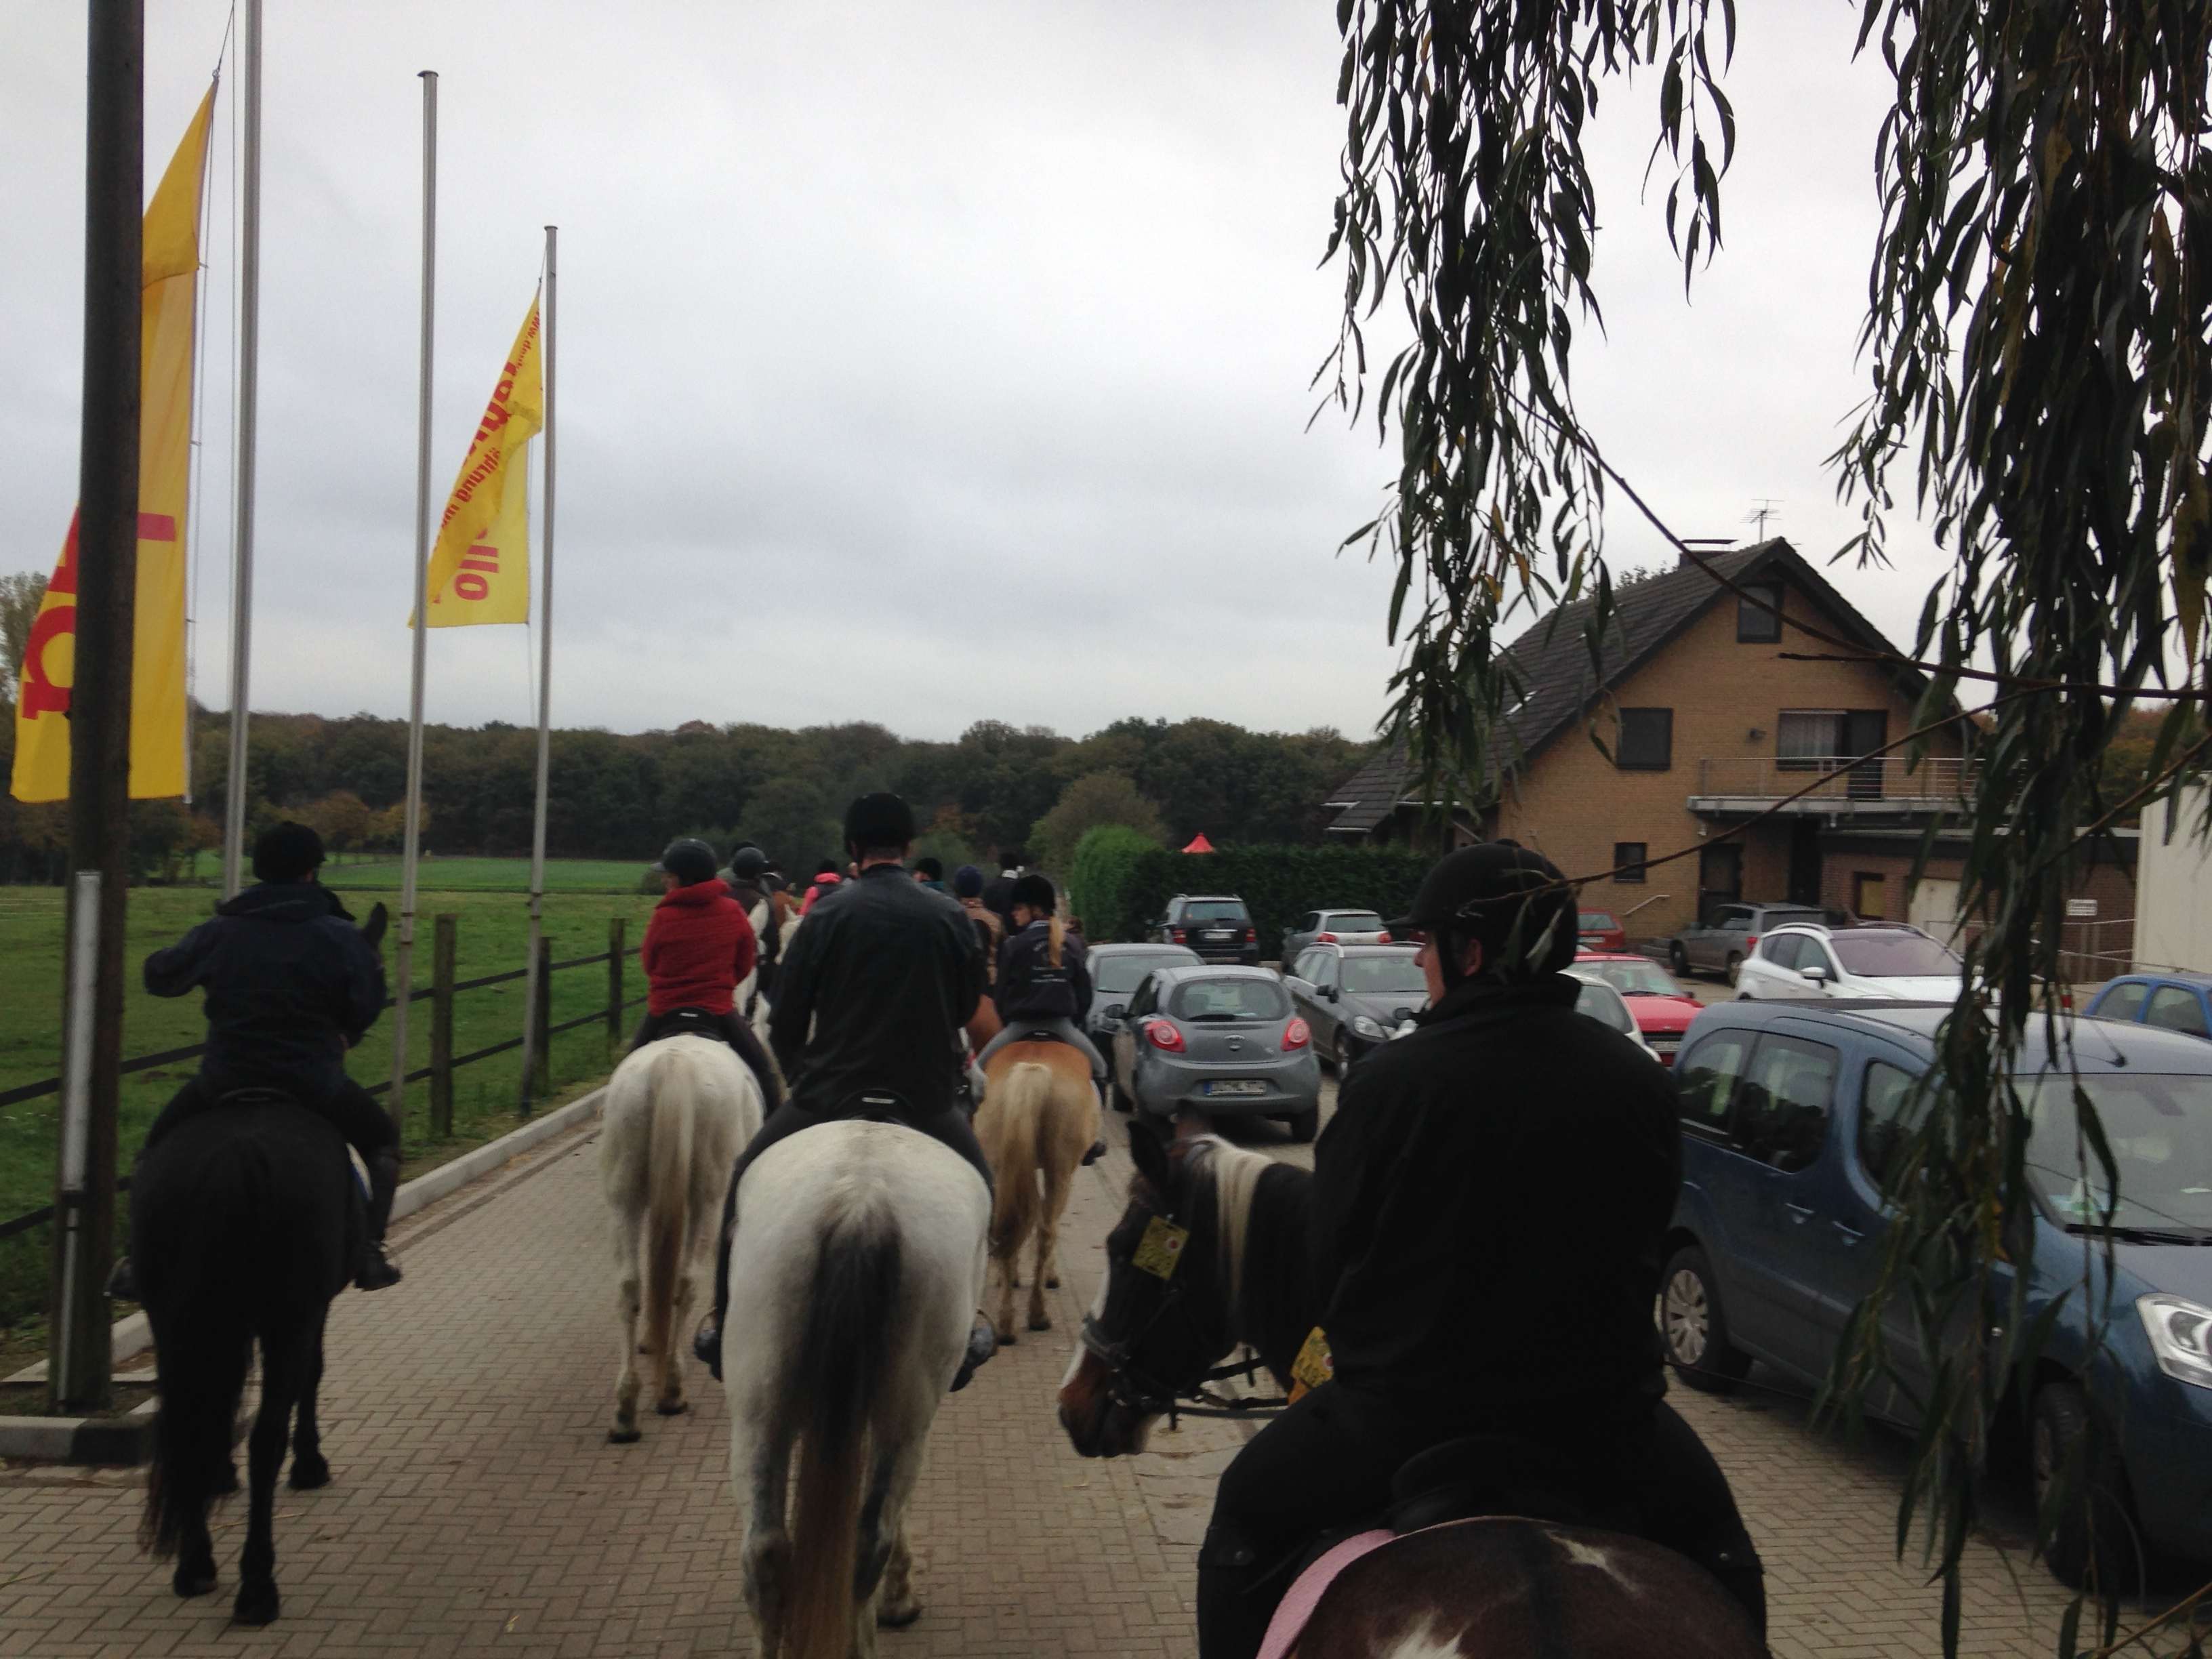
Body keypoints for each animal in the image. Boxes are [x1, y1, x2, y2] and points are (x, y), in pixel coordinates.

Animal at [133, 1098, 353, 1627]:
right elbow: (312, 1375)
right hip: (288, 1318)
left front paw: (218, 1473)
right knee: (266, 1437)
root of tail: (237, 1157)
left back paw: (195, 1565)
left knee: (185, 1425)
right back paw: (257, 1588)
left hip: (170, 1320)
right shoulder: (309, 1312)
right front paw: (310, 1464)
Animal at [600, 1033, 764, 1442]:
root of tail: (673, 1064)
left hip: (624, 1197)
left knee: (629, 1286)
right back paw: (672, 1390)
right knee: (686, 1281)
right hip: (710, 1197)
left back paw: (626, 1410)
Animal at [724, 1119, 989, 1659]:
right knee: (865, 1540)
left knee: (766, 1550)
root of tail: (861, 1202)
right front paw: (900, 1598)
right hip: (905, 1410)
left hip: (760, 1405)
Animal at [975, 1037, 1098, 1343]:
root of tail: (1033, 1070)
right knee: (1046, 1230)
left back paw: (1006, 1323)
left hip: (1002, 1164)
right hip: (1060, 1169)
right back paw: (1037, 1315)